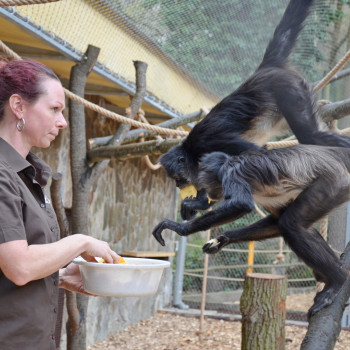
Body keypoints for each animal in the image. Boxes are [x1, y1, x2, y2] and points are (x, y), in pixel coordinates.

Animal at [152, 145, 350, 318]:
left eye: (178, 178)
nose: (178, 184)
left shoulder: (231, 173)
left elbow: (242, 204)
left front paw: (180, 227)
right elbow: (276, 222)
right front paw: (224, 239)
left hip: (333, 183)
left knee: (291, 224)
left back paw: (338, 280)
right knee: (297, 225)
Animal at [160, 0, 350, 220]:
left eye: (176, 176)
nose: (178, 184)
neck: (191, 150)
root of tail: (263, 70)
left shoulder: (209, 143)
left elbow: (254, 154)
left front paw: (201, 202)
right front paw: (198, 203)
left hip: (288, 88)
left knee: (311, 135)